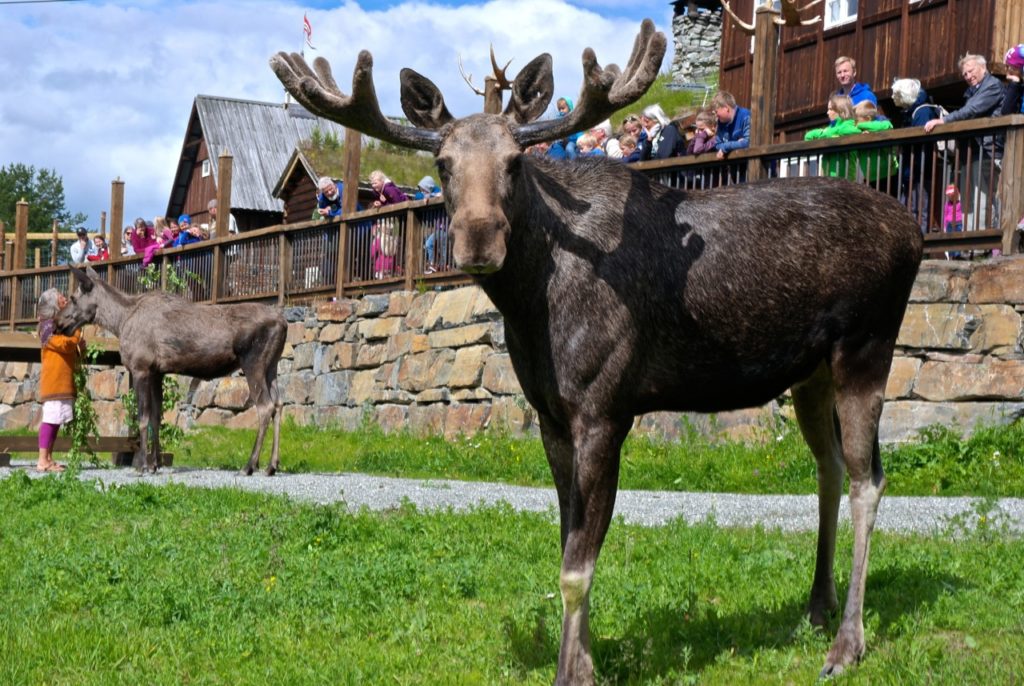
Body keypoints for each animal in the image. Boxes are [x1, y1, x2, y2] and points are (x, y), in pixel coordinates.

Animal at [58, 266, 286, 475]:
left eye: (73, 298)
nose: (59, 323)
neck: (119, 322)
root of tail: (283, 323)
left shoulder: (141, 368)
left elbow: (143, 418)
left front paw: (142, 465)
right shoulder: (157, 372)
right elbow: (156, 417)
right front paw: (155, 463)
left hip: (252, 362)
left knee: (265, 406)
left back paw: (249, 465)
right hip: (271, 366)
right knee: (279, 403)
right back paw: (271, 465)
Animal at [272, 20, 929, 683]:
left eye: (516, 162)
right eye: (443, 162)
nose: (479, 239)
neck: (532, 306)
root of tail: (915, 230)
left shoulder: (604, 410)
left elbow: (576, 567)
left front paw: (574, 670)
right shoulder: (551, 417)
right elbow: (567, 543)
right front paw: (583, 660)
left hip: (867, 346)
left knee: (870, 479)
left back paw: (847, 643)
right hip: (808, 372)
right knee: (831, 468)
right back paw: (816, 607)